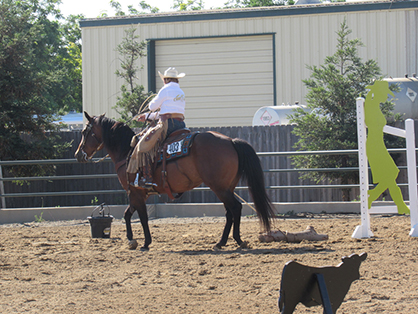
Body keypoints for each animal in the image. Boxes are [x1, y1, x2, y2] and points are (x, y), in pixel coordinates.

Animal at [75, 112, 276, 250]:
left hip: (220, 188)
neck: (127, 153)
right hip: (226, 188)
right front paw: (131, 240)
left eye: (85, 132)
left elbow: (143, 217)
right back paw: (221, 242)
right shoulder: (136, 194)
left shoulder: (137, 193)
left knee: (236, 208)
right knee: (230, 212)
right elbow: (127, 214)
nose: (78, 155)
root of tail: (231, 141)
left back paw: (236, 240)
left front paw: (145, 243)